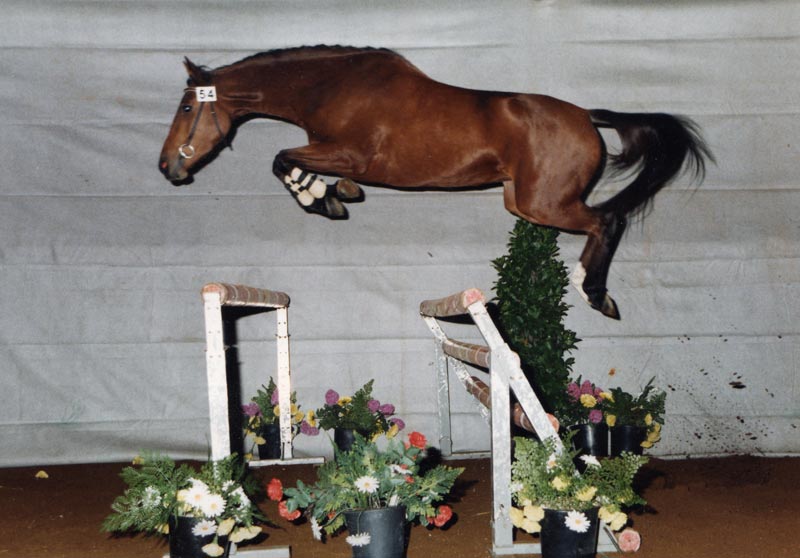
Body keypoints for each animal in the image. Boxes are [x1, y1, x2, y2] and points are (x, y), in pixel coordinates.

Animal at [159, 45, 713, 320]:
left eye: (186, 108)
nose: (168, 168)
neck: (331, 88)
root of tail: (586, 116)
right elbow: (307, 169)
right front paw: (337, 195)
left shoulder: (351, 153)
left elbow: (281, 159)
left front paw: (320, 197)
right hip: (522, 204)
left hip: (547, 203)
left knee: (607, 220)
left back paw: (594, 293)